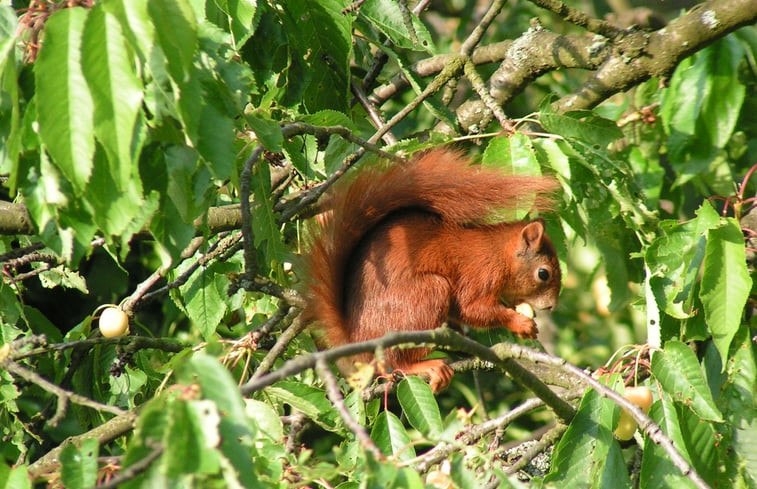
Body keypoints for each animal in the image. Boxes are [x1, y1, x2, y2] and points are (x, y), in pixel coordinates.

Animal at [302, 148, 560, 388]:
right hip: (426, 296)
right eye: (543, 273)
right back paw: (424, 366)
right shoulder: (480, 274)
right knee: (397, 359)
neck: (499, 253)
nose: (551, 306)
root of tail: (356, 338)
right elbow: (473, 308)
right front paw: (520, 322)